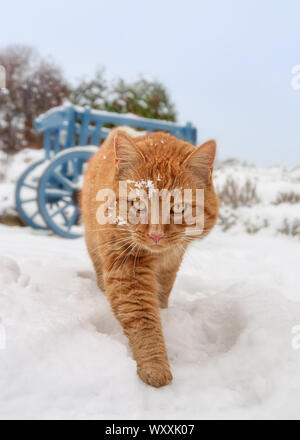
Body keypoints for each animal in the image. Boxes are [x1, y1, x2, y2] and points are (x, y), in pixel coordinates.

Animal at [81, 129, 219, 386]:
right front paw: (154, 365)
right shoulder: (126, 268)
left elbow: (162, 295)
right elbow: (143, 318)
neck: (158, 257)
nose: (155, 234)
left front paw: (164, 313)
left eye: (179, 208)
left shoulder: (171, 264)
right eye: (137, 203)